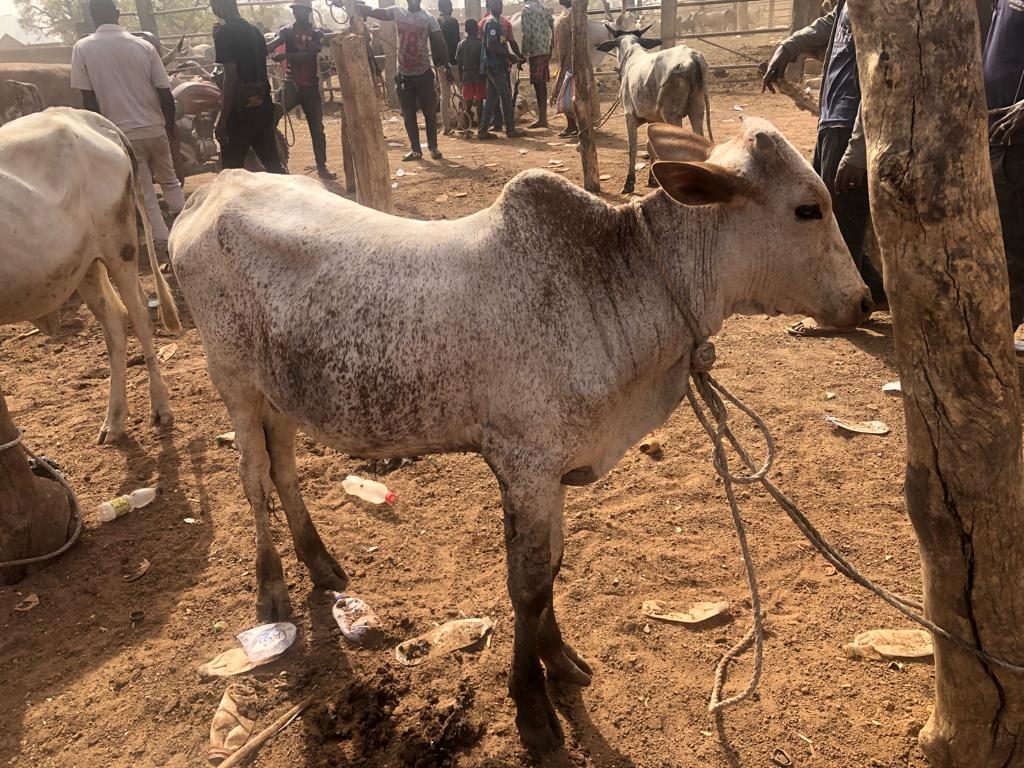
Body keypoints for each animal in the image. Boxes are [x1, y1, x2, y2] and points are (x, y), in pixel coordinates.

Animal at [0, 108, 180, 443]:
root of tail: (77, 115)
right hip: (84, 264)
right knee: (114, 324)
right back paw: (114, 420)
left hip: (119, 246)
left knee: (138, 316)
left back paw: (159, 407)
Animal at [169, 118, 871, 753]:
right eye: (808, 208)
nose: (865, 300)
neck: (620, 282)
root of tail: (213, 187)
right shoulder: (526, 466)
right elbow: (527, 586)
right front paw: (533, 710)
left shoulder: (552, 473)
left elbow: (550, 572)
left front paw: (559, 661)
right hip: (234, 381)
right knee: (254, 479)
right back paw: (271, 591)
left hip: (281, 392)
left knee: (284, 469)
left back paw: (320, 563)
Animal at [597, 26, 712, 193]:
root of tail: (693, 56)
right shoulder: (654, 119)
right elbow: (650, 146)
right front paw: (652, 179)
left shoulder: (629, 115)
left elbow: (633, 148)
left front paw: (629, 183)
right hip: (697, 109)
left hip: (671, 114)